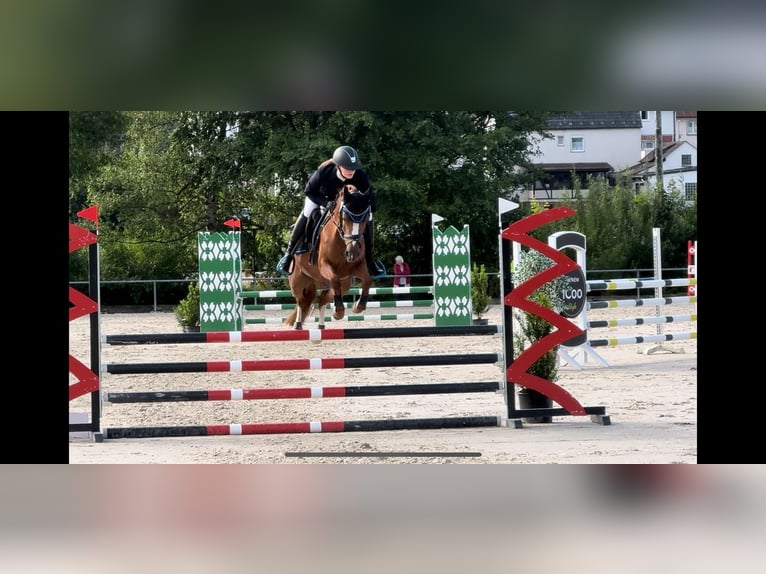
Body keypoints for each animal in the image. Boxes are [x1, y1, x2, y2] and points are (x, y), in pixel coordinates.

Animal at [284, 184, 376, 328]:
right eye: (345, 218)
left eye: (366, 220)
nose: (352, 253)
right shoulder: (324, 265)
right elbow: (334, 279)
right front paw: (338, 311)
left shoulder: (357, 266)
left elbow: (367, 279)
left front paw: (358, 306)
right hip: (297, 281)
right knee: (301, 301)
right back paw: (298, 324)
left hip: (344, 283)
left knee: (322, 299)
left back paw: (321, 325)